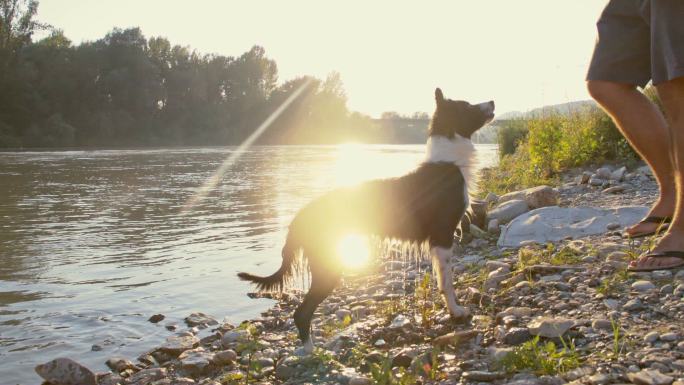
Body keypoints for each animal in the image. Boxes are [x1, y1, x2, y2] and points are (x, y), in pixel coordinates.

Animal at [238, 88, 494, 352]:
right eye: (467, 106)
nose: (493, 101)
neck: (448, 162)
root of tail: (302, 214)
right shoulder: (442, 236)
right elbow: (447, 282)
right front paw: (456, 312)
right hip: (328, 265)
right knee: (301, 312)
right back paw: (311, 351)